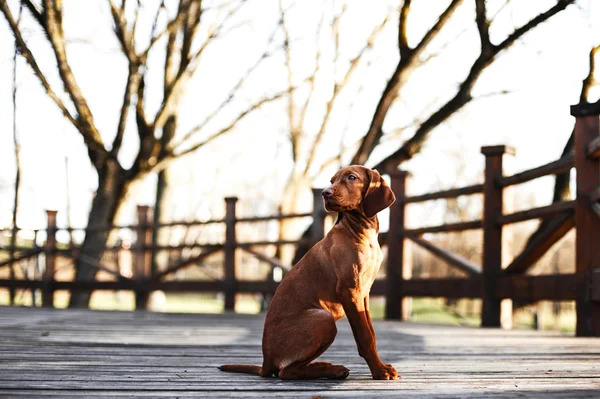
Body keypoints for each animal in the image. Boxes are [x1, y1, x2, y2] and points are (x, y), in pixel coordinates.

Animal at [219, 166, 398, 382]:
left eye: (351, 177)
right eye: (332, 180)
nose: (325, 193)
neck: (360, 231)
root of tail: (265, 361)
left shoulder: (364, 293)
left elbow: (371, 332)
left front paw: (381, 366)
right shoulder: (350, 291)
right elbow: (365, 336)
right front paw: (379, 371)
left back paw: (325, 366)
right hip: (323, 318)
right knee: (285, 372)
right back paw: (332, 370)